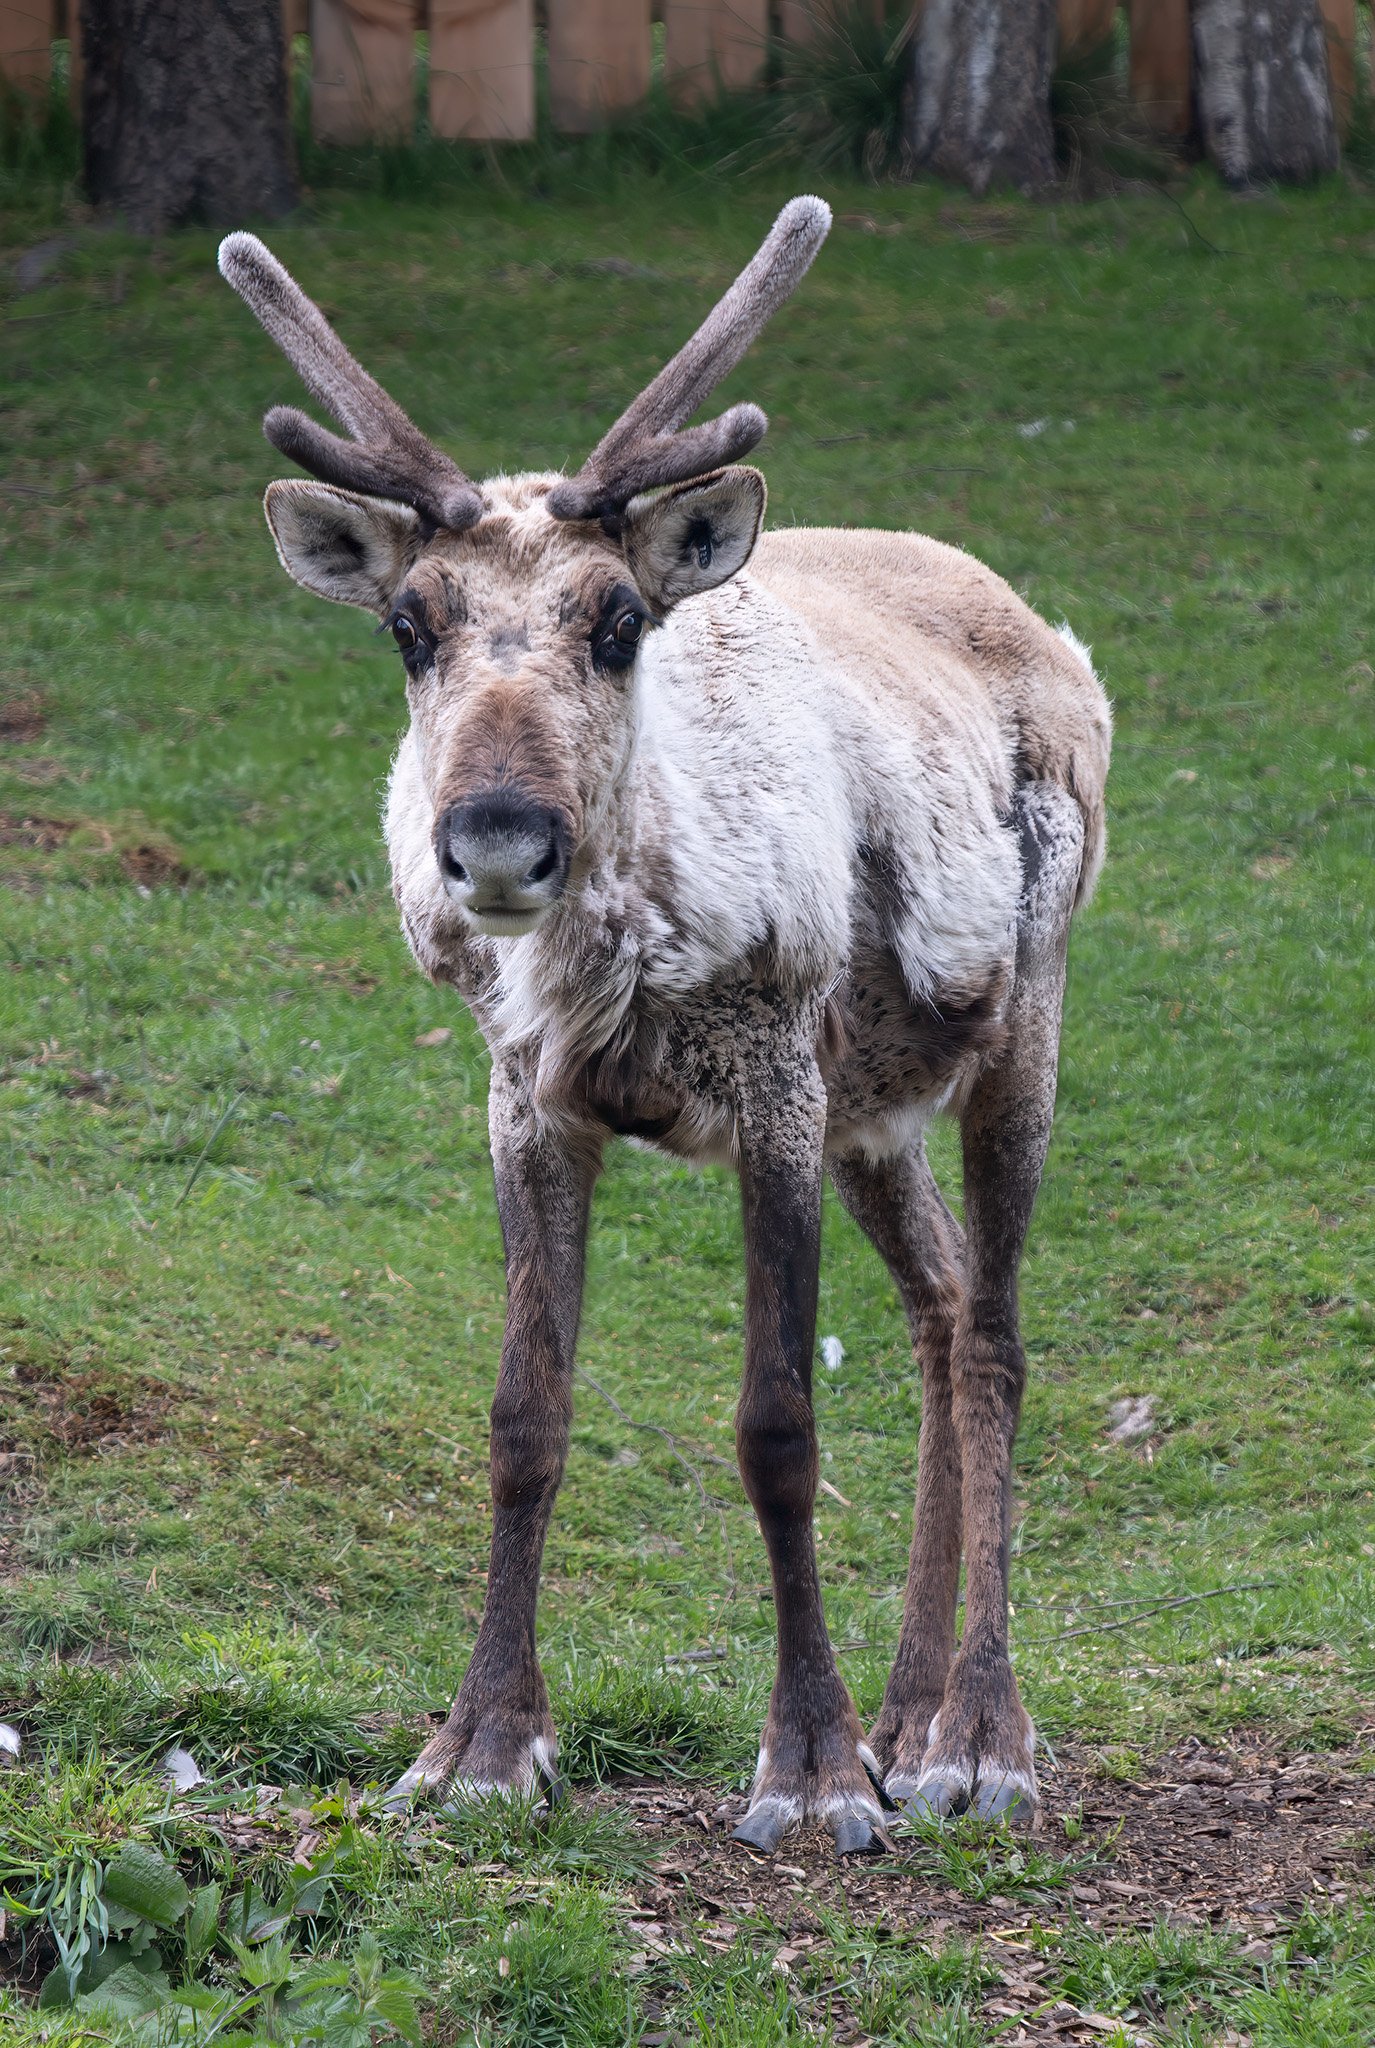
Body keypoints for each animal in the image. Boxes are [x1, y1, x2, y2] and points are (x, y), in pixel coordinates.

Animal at [218, 197, 1110, 1857]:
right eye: (406, 626)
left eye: (621, 617)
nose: (498, 839)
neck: (609, 965)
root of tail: (1047, 632)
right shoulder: (525, 1097)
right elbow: (523, 1414)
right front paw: (480, 1749)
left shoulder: (770, 1082)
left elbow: (776, 1425)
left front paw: (807, 1771)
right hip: (876, 1099)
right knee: (942, 1304)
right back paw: (906, 1711)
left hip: (1021, 1013)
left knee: (1001, 1333)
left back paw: (975, 1738)